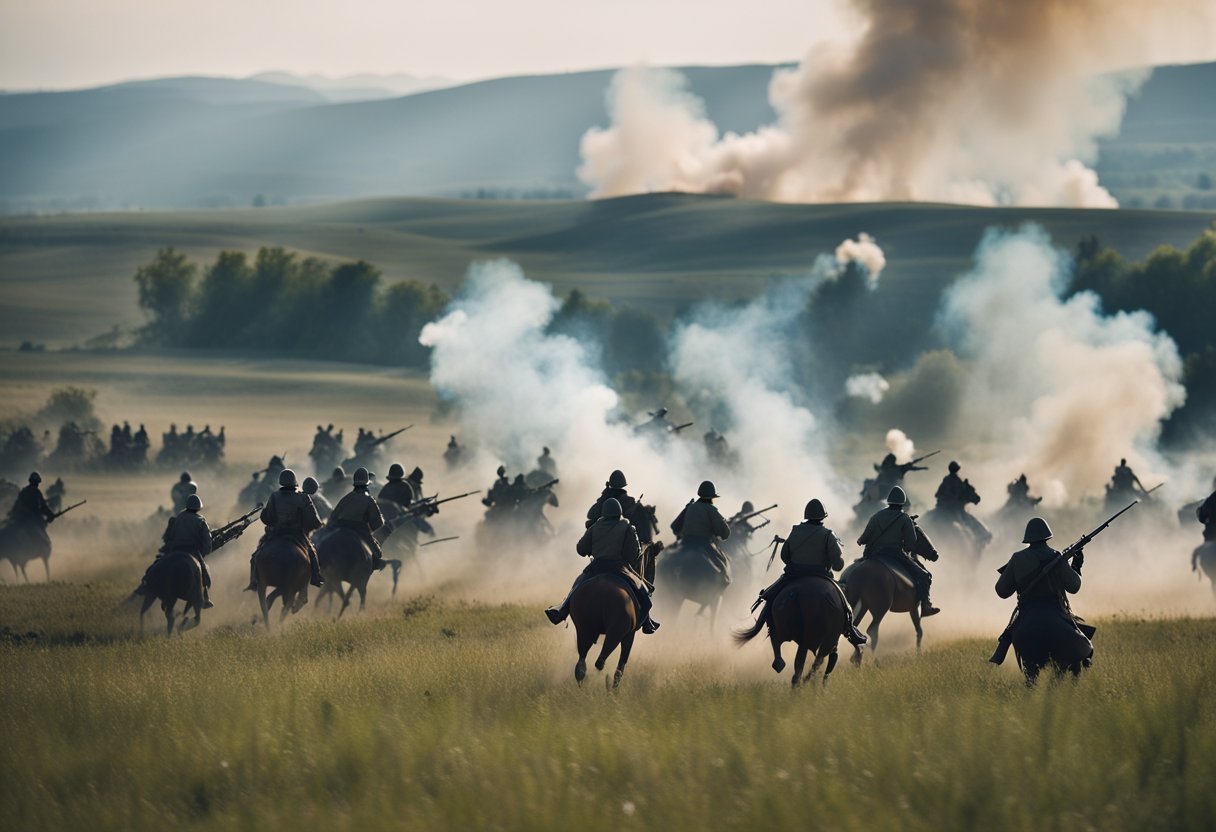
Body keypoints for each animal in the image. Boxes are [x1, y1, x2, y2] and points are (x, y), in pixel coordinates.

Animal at [571, 540, 666, 690]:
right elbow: (622, 664)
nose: (651, 587)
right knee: (601, 662)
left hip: (583, 630)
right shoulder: (629, 635)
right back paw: (607, 685)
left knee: (581, 665)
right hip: (615, 634)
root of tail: (601, 591)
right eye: (652, 563)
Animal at [846, 525, 938, 671]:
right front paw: (919, 655)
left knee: (854, 629)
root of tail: (860, 573)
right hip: (880, 609)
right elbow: (919, 630)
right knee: (872, 631)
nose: (935, 554)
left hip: (861, 607)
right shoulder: (915, 607)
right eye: (920, 533)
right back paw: (875, 661)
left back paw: (857, 660)